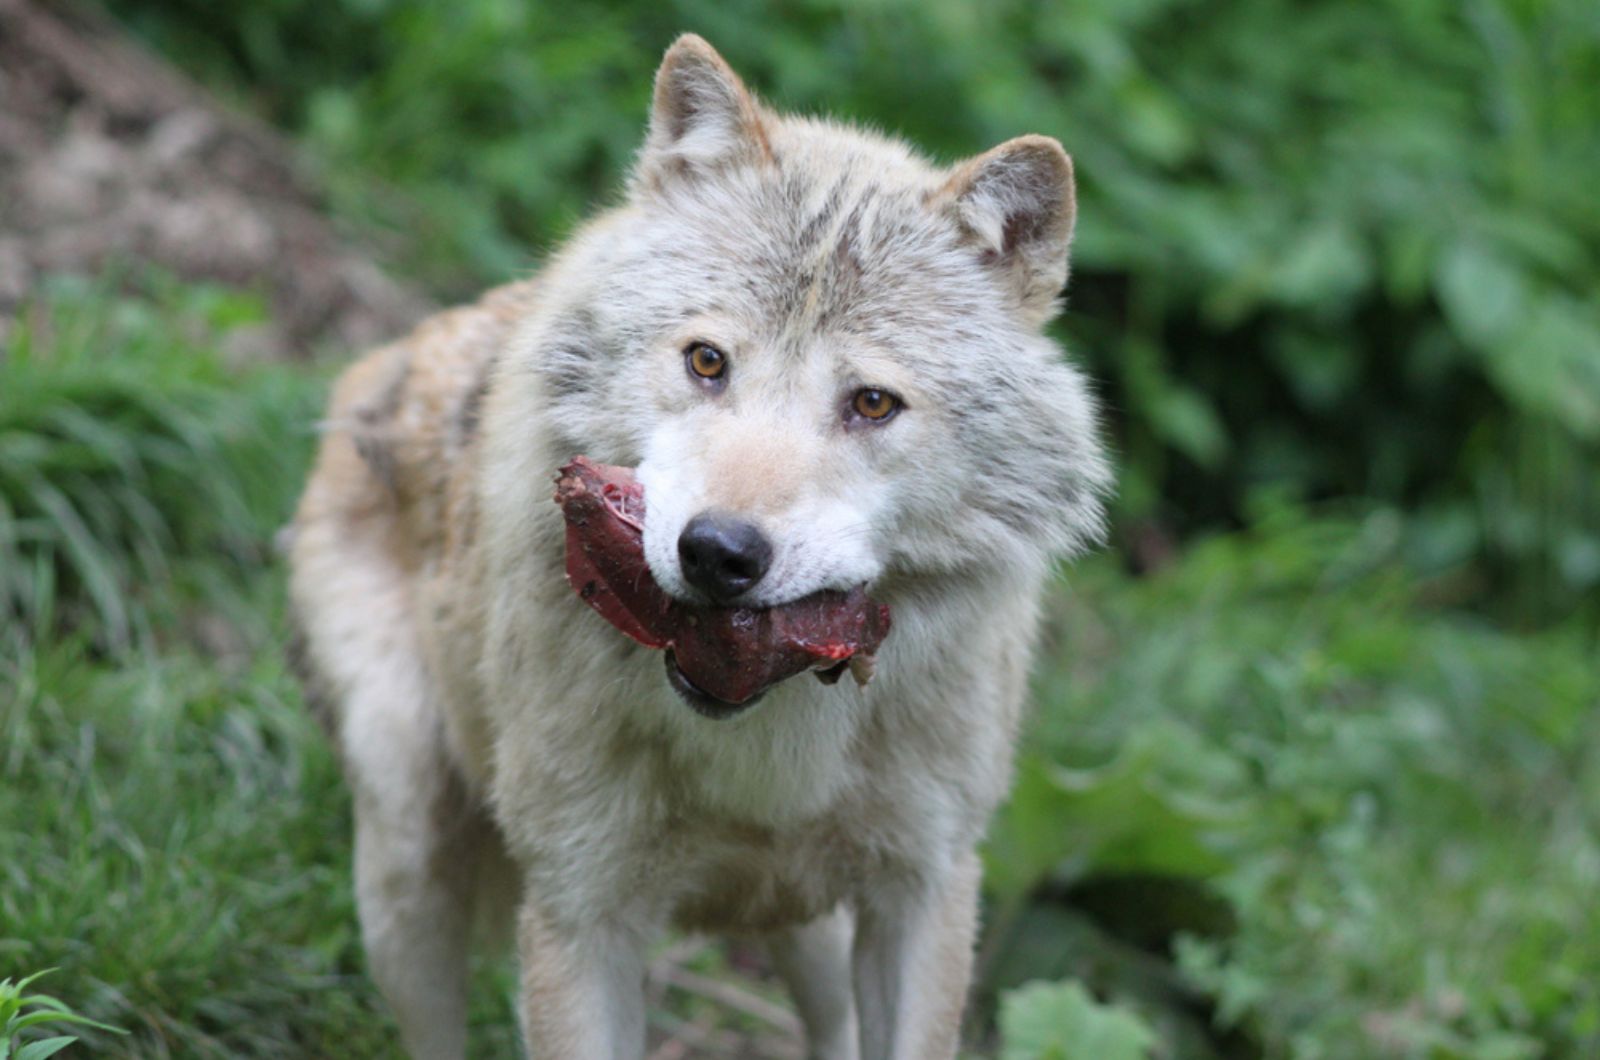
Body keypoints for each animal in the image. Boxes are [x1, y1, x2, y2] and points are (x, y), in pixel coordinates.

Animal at [284, 33, 1113, 1060]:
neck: (767, 745)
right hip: (406, 863)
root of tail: (380, 364)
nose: (719, 551)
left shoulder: (925, 892)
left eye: (872, 403)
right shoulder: (578, 913)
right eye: (707, 361)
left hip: (811, 930)